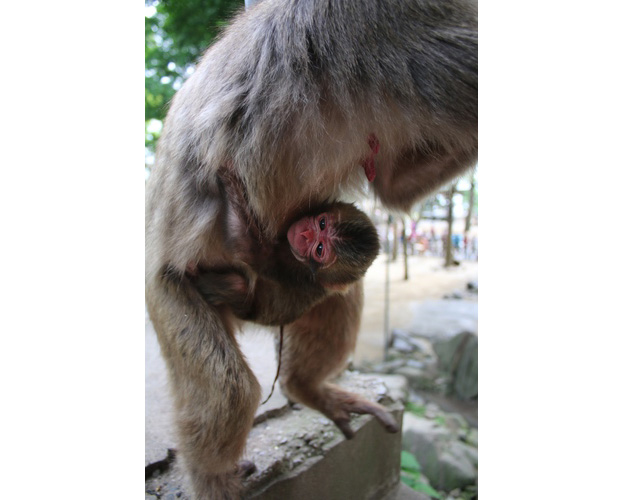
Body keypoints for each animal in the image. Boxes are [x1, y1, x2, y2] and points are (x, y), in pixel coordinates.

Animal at [146, 0, 478, 496]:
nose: (307, 238)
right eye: (317, 225)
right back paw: (215, 477)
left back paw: (306, 388)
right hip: (167, 290)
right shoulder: (392, 28)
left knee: (335, 296)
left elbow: (391, 188)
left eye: (323, 238)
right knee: (231, 388)